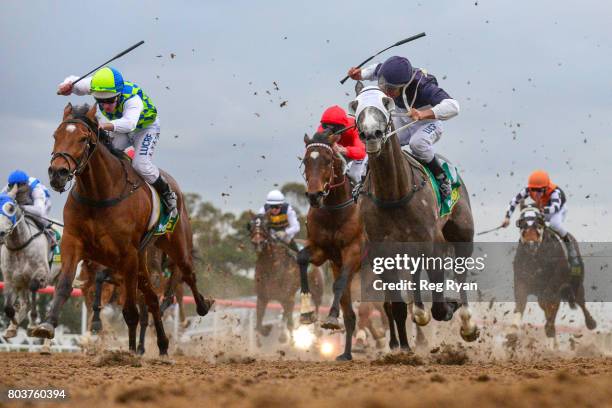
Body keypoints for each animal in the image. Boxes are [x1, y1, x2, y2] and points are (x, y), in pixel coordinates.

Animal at [31, 103, 213, 356]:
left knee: (186, 274)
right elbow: (66, 284)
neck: (99, 194)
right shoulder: (74, 243)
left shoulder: (126, 255)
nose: (58, 173)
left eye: (83, 139)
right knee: (152, 300)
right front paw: (47, 325)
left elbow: (130, 310)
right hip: (142, 263)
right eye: (56, 135)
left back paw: (202, 306)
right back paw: (162, 345)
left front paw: (128, 348)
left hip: (174, 246)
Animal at [249, 214, 326, 344]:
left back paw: (317, 330)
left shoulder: (288, 297)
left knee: (316, 304)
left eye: (266, 226)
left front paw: (289, 340)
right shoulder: (263, 297)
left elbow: (289, 320)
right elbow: (259, 322)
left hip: (316, 288)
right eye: (251, 225)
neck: (272, 267)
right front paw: (266, 331)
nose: (257, 242)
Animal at [296, 131, 364, 360]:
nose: (314, 195)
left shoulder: (354, 251)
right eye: (306, 161)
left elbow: (339, 283)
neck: (335, 211)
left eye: (327, 160)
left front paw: (332, 317)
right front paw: (306, 312)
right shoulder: (322, 250)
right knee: (352, 314)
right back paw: (347, 354)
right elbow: (301, 258)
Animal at [350, 83, 478, 350]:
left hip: (462, 234)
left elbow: (439, 305)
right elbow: (397, 305)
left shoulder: (433, 243)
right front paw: (402, 348)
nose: (372, 134)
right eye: (355, 105)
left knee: (461, 274)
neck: (394, 194)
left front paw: (449, 307)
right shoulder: (382, 251)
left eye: (386, 101)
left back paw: (467, 323)